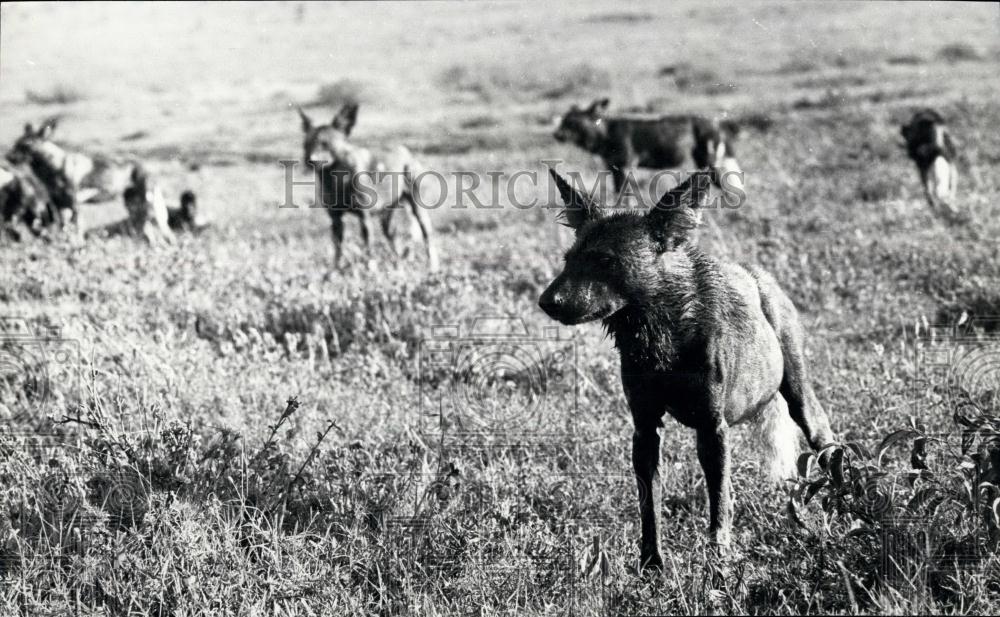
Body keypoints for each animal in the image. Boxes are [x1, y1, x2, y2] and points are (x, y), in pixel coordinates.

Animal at [296, 103, 438, 270]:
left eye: (326, 145)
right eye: (306, 145)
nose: (309, 160)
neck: (336, 181)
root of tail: (405, 151)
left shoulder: (364, 218)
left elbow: (368, 249)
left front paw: (370, 269)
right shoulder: (336, 220)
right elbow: (338, 250)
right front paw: (335, 271)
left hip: (418, 210)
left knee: (427, 237)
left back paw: (433, 266)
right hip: (386, 219)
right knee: (393, 238)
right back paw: (399, 264)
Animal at [540, 168, 836, 568]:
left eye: (606, 261)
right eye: (568, 259)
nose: (546, 301)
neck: (660, 341)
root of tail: (759, 274)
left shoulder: (712, 429)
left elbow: (719, 509)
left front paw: (719, 566)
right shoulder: (645, 430)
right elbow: (650, 510)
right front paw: (651, 567)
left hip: (800, 396)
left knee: (824, 439)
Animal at [556, 97, 744, 197]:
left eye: (572, 122)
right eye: (564, 121)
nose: (557, 134)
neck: (605, 134)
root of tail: (718, 124)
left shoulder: (625, 167)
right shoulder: (614, 168)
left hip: (710, 164)